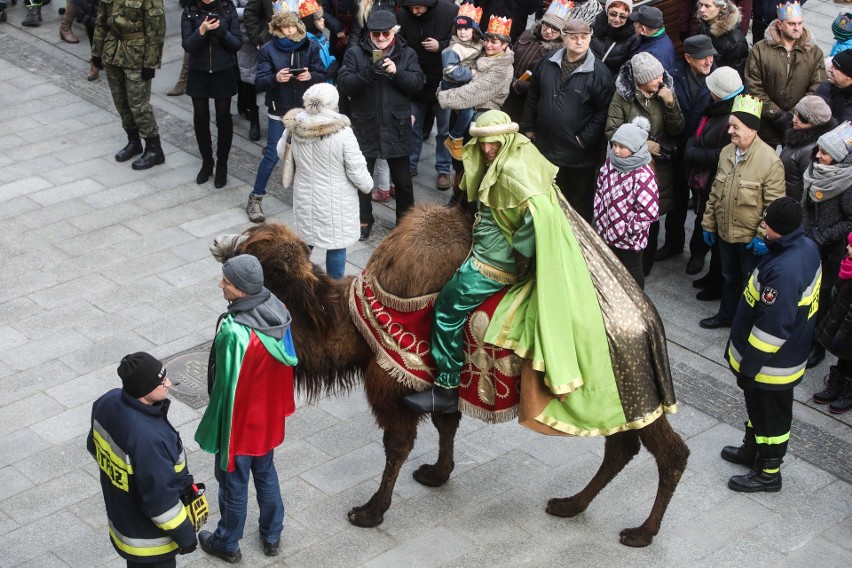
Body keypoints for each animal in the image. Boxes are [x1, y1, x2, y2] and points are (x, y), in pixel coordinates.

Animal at [211, 202, 692, 548]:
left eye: (254, 258)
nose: (221, 248)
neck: (352, 319)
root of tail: (648, 322)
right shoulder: (442, 381)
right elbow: (446, 422)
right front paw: (437, 474)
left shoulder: (393, 384)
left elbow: (398, 446)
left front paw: (369, 512)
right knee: (622, 447)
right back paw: (569, 505)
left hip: (630, 388)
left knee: (669, 452)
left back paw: (640, 533)